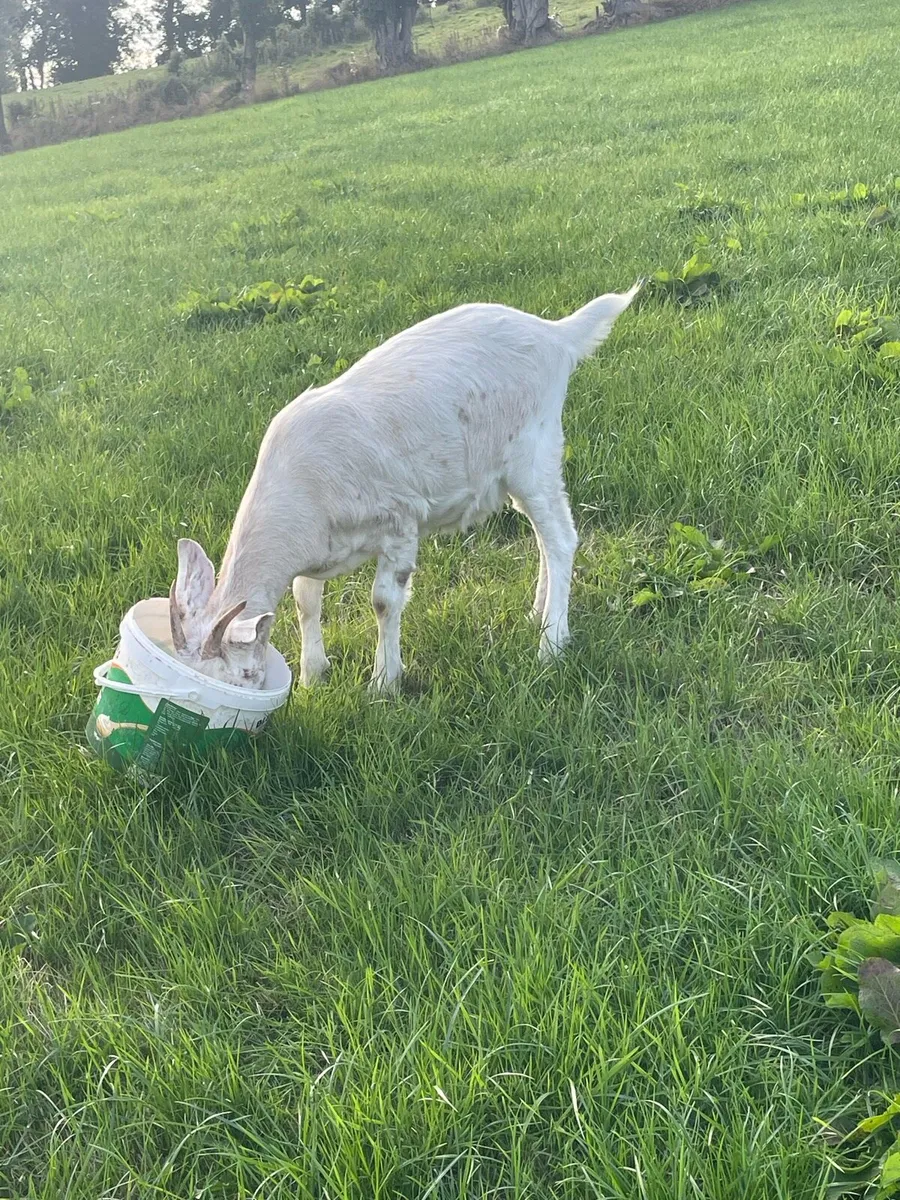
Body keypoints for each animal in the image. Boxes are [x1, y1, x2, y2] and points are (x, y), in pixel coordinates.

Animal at [169, 283, 641, 691]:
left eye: (245, 675)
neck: (300, 487)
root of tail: (556, 335)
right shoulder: (318, 549)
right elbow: (306, 599)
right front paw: (313, 674)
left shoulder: (399, 521)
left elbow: (383, 602)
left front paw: (384, 682)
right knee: (543, 536)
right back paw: (537, 614)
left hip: (533, 452)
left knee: (560, 537)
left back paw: (552, 642)